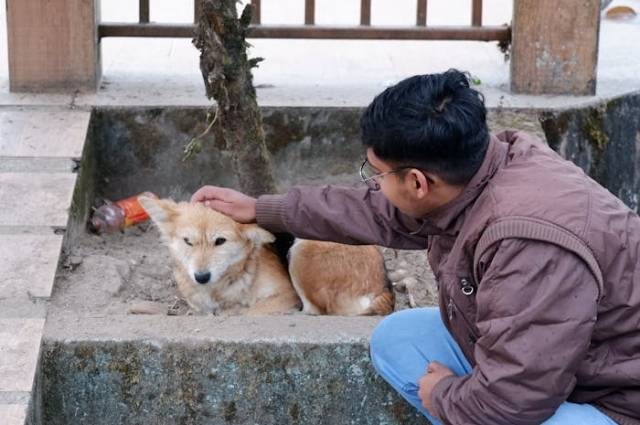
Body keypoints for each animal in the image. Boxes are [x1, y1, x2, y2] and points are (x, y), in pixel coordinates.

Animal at [140, 196, 396, 314]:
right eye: (188, 242)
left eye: (220, 241)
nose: (201, 277)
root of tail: (385, 287)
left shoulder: (286, 295)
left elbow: (249, 313)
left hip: (302, 250)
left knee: (319, 311)